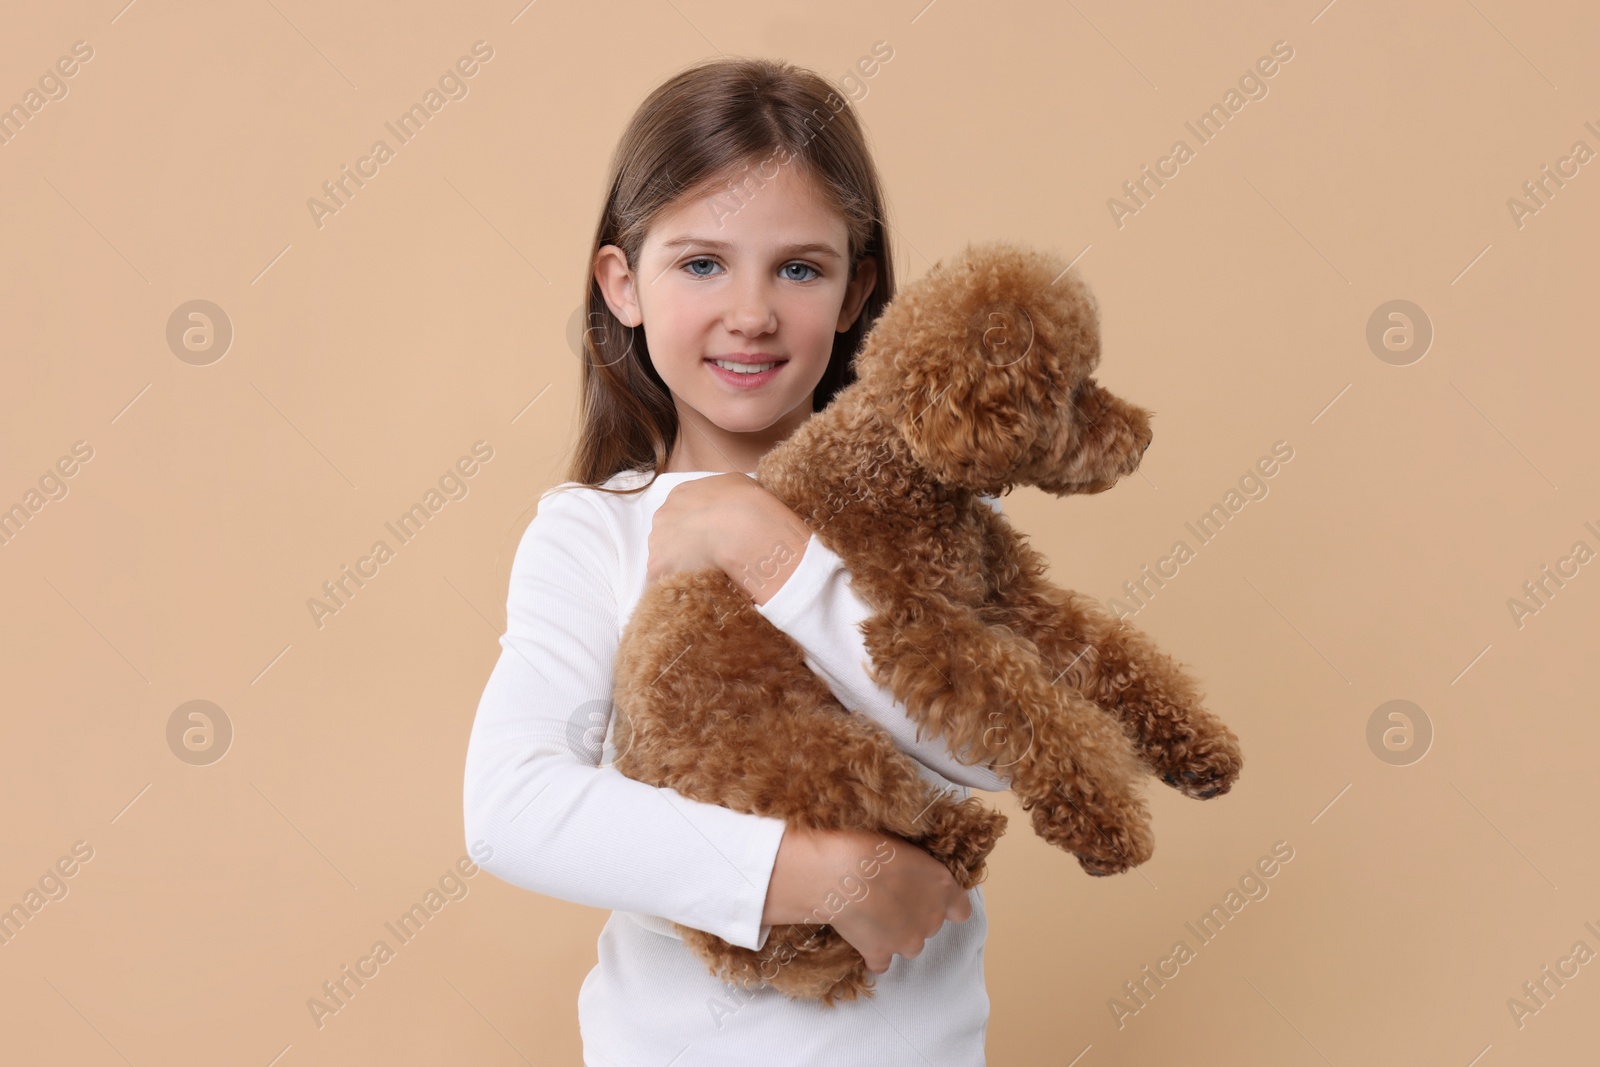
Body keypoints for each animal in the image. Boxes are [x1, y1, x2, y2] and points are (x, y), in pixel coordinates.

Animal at [604, 238, 1241, 1004]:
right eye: (1073, 389)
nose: (1142, 437)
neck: (904, 467)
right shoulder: (925, 632)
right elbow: (1033, 712)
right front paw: (1107, 825)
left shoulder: (1011, 599)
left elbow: (1112, 654)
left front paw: (1197, 747)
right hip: (812, 752)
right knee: (894, 815)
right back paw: (963, 835)